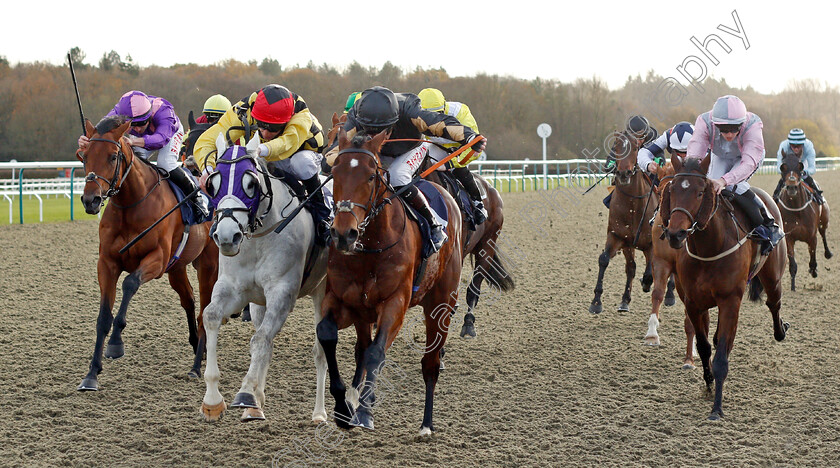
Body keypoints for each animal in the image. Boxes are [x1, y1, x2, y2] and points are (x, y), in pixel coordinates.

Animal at [76, 117, 218, 392]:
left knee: (205, 311)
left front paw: (116, 344)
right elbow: (103, 317)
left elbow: (130, 283)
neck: (131, 205)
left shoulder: (157, 260)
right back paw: (197, 346)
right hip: (178, 267)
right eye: (84, 155)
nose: (91, 200)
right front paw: (91, 374)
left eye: (112, 157)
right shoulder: (107, 263)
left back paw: (196, 367)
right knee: (189, 300)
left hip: (209, 265)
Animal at [320, 128, 462, 436]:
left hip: (442, 303)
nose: (343, 234)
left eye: (371, 176)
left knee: (430, 363)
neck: (370, 248)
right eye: (334, 172)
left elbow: (376, 353)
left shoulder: (395, 302)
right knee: (362, 349)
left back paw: (426, 425)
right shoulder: (342, 300)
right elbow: (327, 335)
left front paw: (364, 412)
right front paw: (342, 408)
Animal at [588, 131, 660, 314]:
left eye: (635, 148)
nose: (623, 174)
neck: (633, 206)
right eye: (616, 148)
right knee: (631, 267)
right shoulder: (618, 236)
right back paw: (625, 300)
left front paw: (646, 283)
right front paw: (596, 301)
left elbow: (650, 271)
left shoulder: (651, 244)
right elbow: (604, 259)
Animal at [664, 154, 788, 420]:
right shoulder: (693, 302)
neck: (709, 247)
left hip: (773, 276)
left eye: (700, 192)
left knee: (774, 302)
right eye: (673, 189)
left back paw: (781, 330)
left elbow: (721, 355)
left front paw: (717, 407)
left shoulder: (730, 300)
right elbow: (704, 346)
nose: (676, 234)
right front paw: (709, 382)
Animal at [776, 150, 832, 288]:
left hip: (824, 221)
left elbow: (812, 257)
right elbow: (793, 264)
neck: (797, 209)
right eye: (782, 167)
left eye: (800, 166)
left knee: (823, 234)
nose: (792, 187)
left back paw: (828, 253)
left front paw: (813, 270)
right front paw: (792, 286)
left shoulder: (812, 237)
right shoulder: (789, 237)